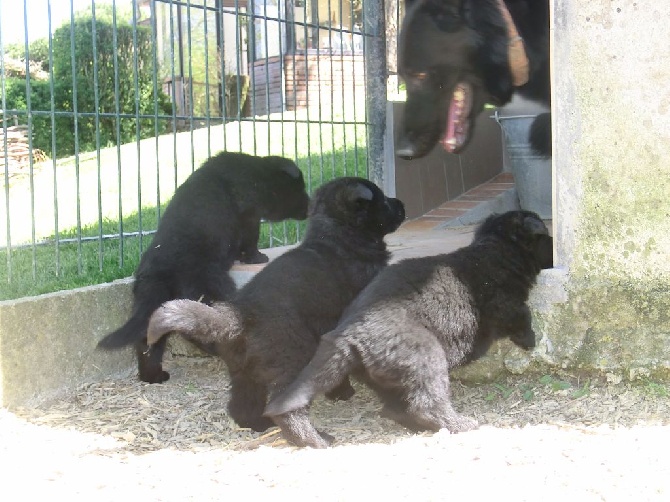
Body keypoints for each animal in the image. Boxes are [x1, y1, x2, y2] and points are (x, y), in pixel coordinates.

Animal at [97, 151, 312, 382]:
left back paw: (153, 376)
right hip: (208, 289)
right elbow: (250, 239)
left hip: (152, 303)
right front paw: (257, 258)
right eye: (300, 187)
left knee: (148, 340)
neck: (256, 173)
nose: (310, 206)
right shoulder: (249, 214)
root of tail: (162, 273)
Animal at [146, 178, 404, 434]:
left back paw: (258, 425)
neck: (338, 239)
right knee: (284, 407)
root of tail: (239, 316)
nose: (401, 204)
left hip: (243, 370)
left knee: (242, 404)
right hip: (290, 358)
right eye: (382, 200)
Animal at [266, 208, 552, 448]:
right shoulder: (505, 302)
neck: (495, 250)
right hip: (426, 356)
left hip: (385, 377)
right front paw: (531, 340)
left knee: (397, 408)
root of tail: (350, 333)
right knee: (427, 404)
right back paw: (460, 424)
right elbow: (521, 315)